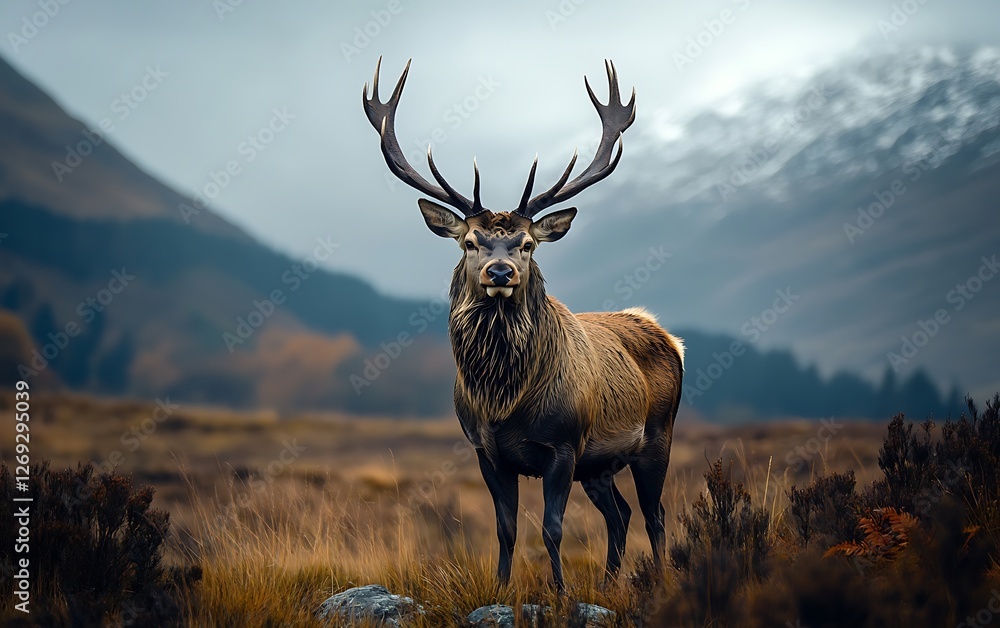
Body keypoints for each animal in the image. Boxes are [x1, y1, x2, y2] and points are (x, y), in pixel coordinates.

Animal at [362, 58, 684, 591]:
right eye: (470, 241)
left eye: (528, 244)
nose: (500, 273)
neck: (505, 403)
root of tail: (668, 336)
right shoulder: (487, 452)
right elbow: (506, 529)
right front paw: (500, 588)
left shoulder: (563, 446)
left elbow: (552, 529)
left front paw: (560, 591)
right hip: (599, 465)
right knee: (620, 515)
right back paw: (609, 584)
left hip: (657, 436)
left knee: (655, 514)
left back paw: (656, 580)